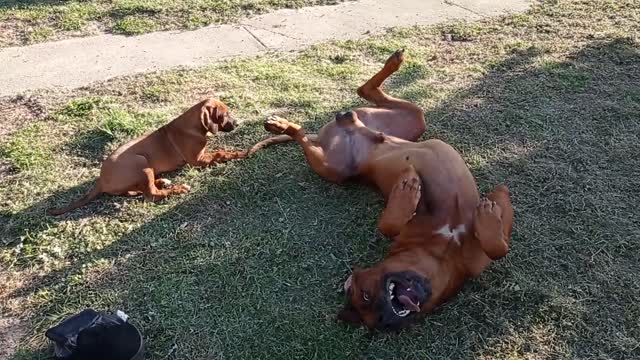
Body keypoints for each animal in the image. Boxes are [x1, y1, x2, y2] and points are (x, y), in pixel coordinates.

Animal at [48, 98, 252, 215]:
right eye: (225, 114)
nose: (238, 123)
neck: (192, 126)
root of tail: (101, 180)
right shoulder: (197, 160)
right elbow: (220, 152)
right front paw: (237, 153)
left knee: (138, 190)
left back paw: (162, 181)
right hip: (141, 162)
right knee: (151, 195)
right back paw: (176, 189)